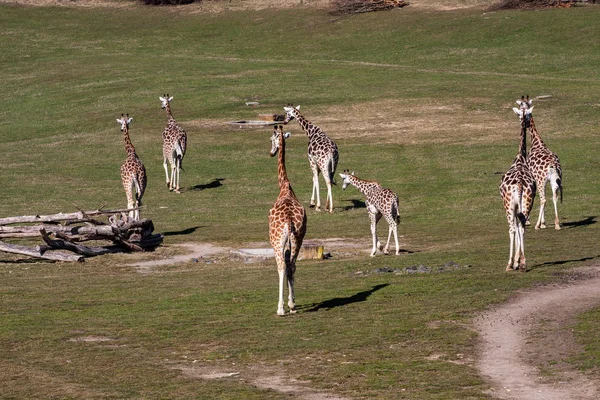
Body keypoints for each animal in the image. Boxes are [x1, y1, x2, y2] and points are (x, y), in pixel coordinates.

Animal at [512, 95, 564, 230]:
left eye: (520, 112)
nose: (522, 122)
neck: (536, 142)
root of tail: (553, 166)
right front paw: (544, 223)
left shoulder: (535, 178)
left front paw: (541, 223)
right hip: (555, 179)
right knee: (554, 196)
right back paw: (557, 223)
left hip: (541, 180)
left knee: (543, 199)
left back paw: (537, 225)